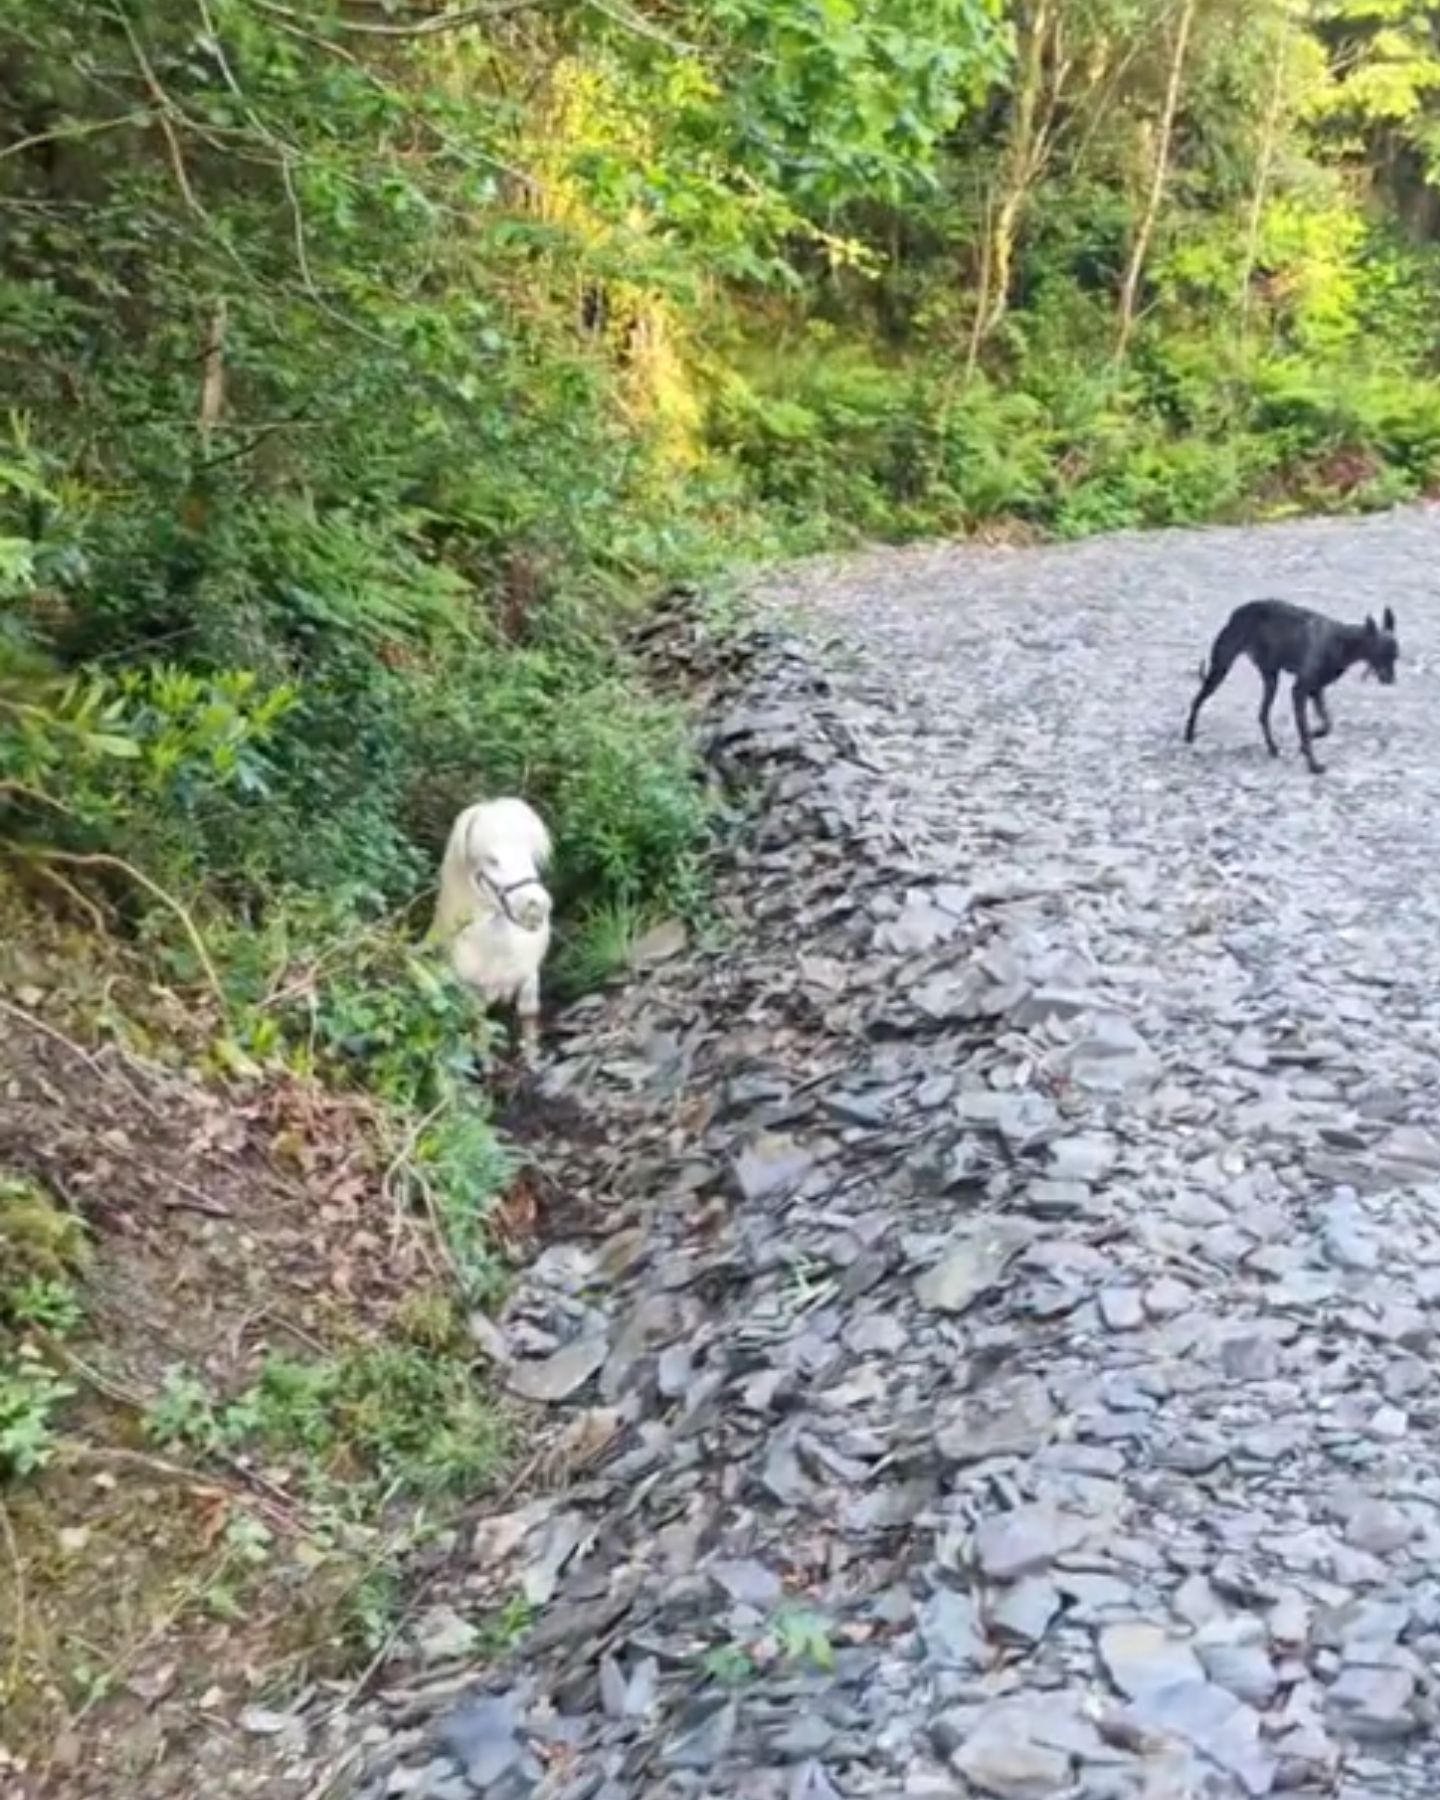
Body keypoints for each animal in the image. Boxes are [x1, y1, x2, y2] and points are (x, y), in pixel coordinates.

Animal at [430, 795, 554, 1058]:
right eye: (492, 860)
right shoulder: (473, 992)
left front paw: (532, 1057)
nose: (536, 907)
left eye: (531, 856)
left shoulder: (529, 974)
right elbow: (482, 1029)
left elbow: (528, 1013)